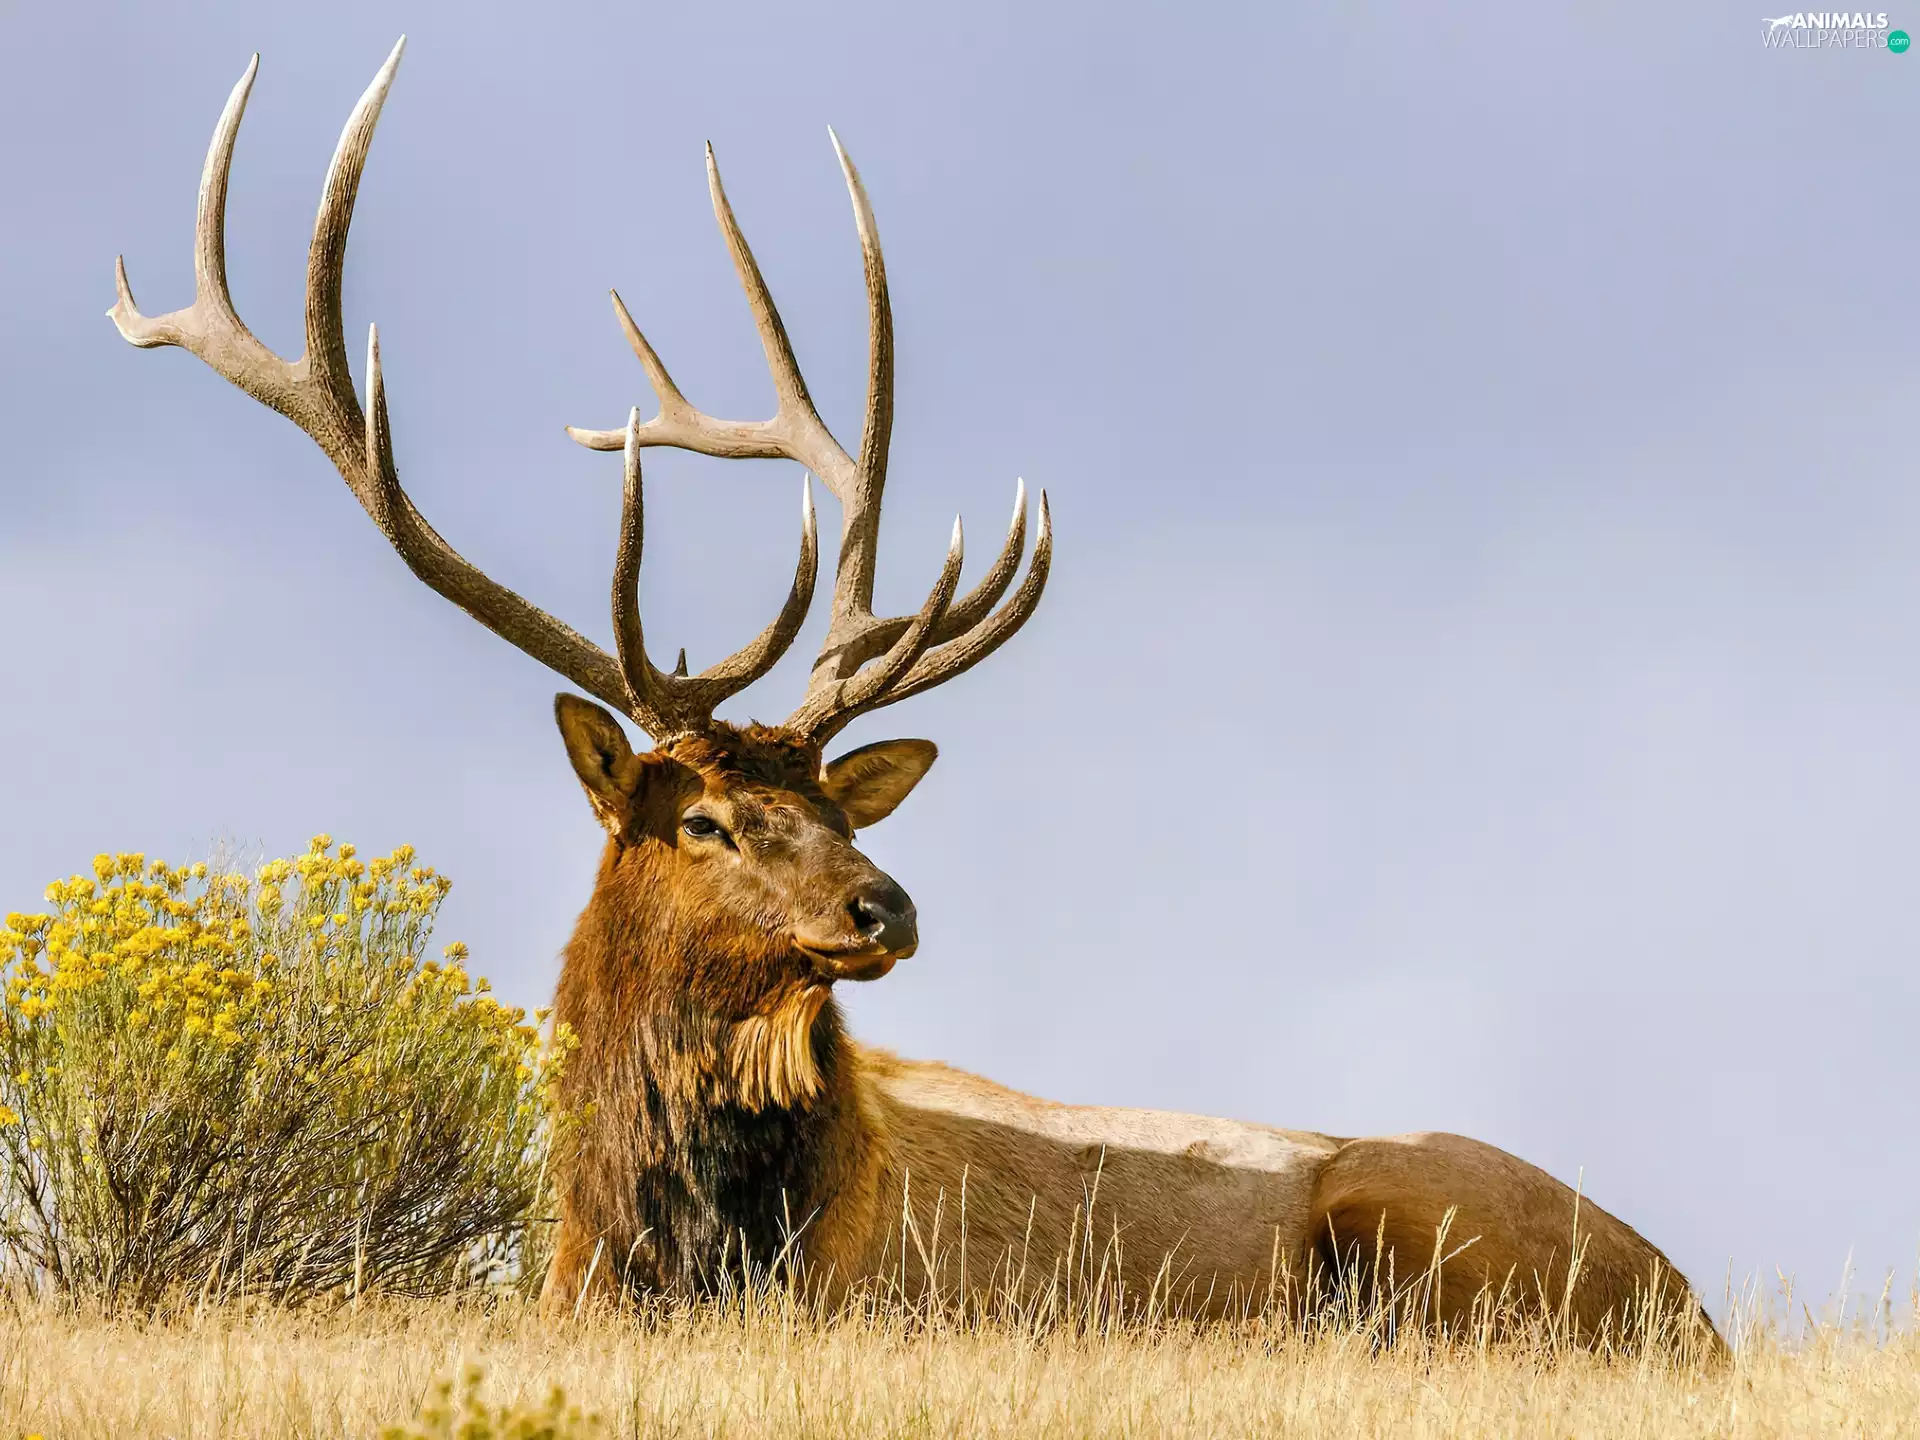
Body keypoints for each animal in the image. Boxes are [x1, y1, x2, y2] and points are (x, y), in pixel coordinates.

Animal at [109, 40, 1720, 1352]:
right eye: (703, 820)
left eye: (837, 804)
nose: (884, 906)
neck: (667, 1248)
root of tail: (1690, 1303)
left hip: (1422, 1217)